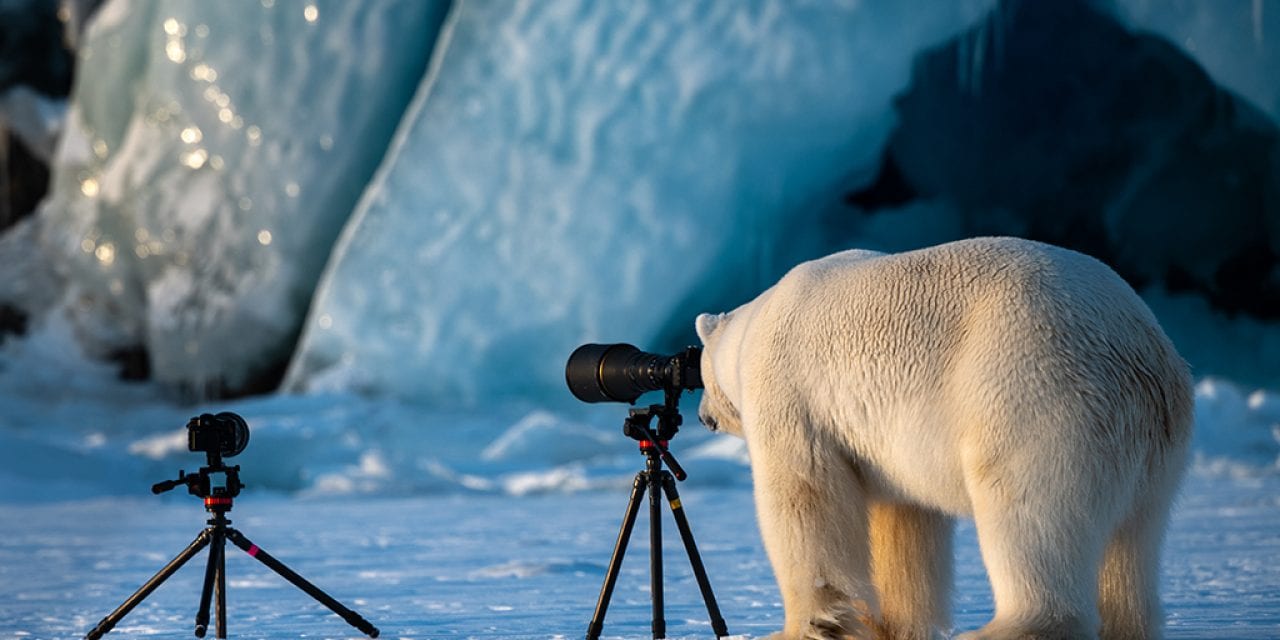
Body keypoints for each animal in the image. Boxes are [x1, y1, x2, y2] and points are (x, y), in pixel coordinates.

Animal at [696, 238, 1192, 637]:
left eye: (698, 374)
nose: (703, 417)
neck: (753, 327)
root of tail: (1140, 353)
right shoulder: (888, 444)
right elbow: (904, 521)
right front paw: (891, 626)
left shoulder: (791, 394)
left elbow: (805, 497)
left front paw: (810, 627)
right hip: (1151, 451)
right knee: (1133, 545)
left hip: (1037, 399)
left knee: (1029, 518)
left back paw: (1001, 629)